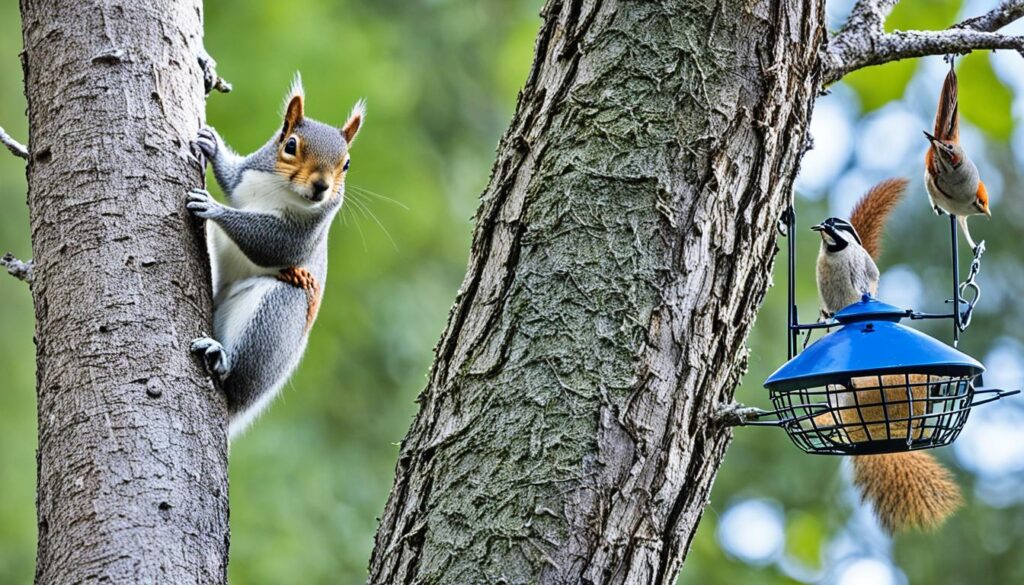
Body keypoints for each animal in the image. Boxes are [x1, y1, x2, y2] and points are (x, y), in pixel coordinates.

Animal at [188, 73, 364, 436]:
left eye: (347, 164)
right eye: (290, 145)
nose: (322, 187)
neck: (281, 190)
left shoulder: (303, 235)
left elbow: (269, 244)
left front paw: (212, 207)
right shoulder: (246, 178)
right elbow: (231, 178)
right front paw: (212, 145)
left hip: (276, 318)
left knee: (239, 378)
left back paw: (221, 359)